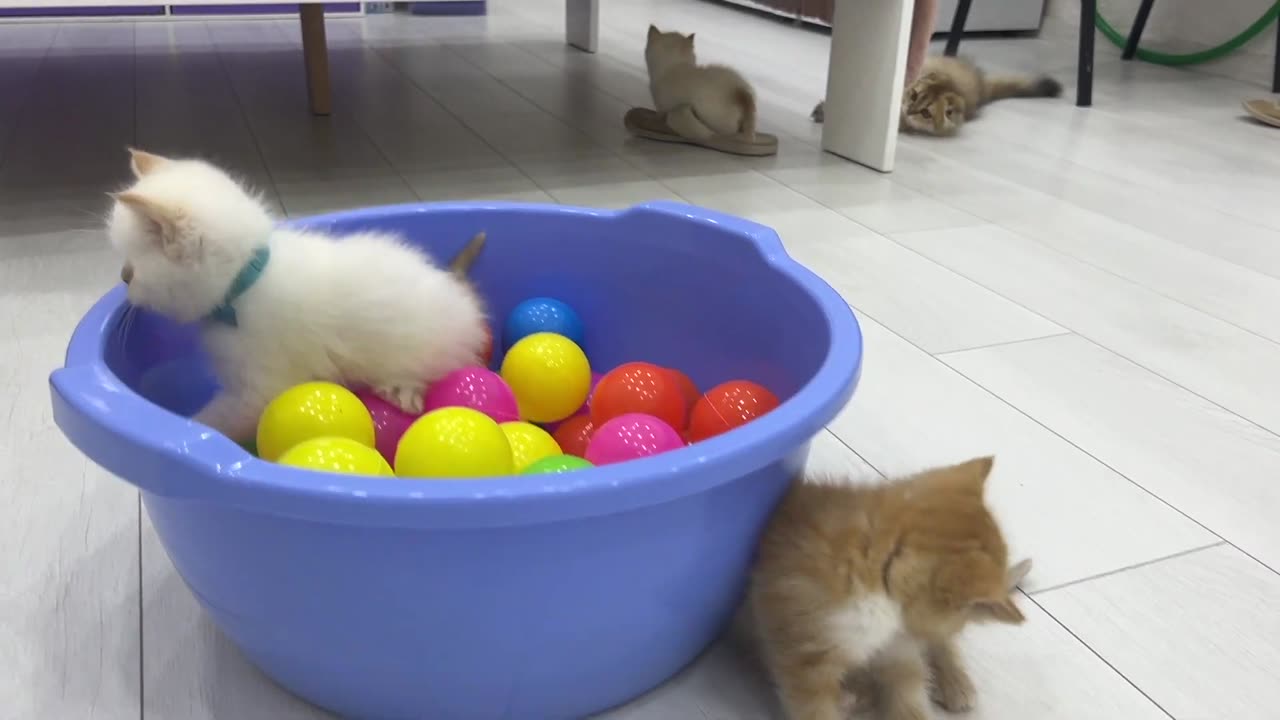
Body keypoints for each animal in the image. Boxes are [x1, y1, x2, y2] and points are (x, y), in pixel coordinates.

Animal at [108, 148, 488, 440]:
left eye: (131, 275)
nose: (122, 279)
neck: (245, 281)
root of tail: (459, 291)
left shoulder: (261, 388)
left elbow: (218, 419)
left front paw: (189, 427)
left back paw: (402, 388)